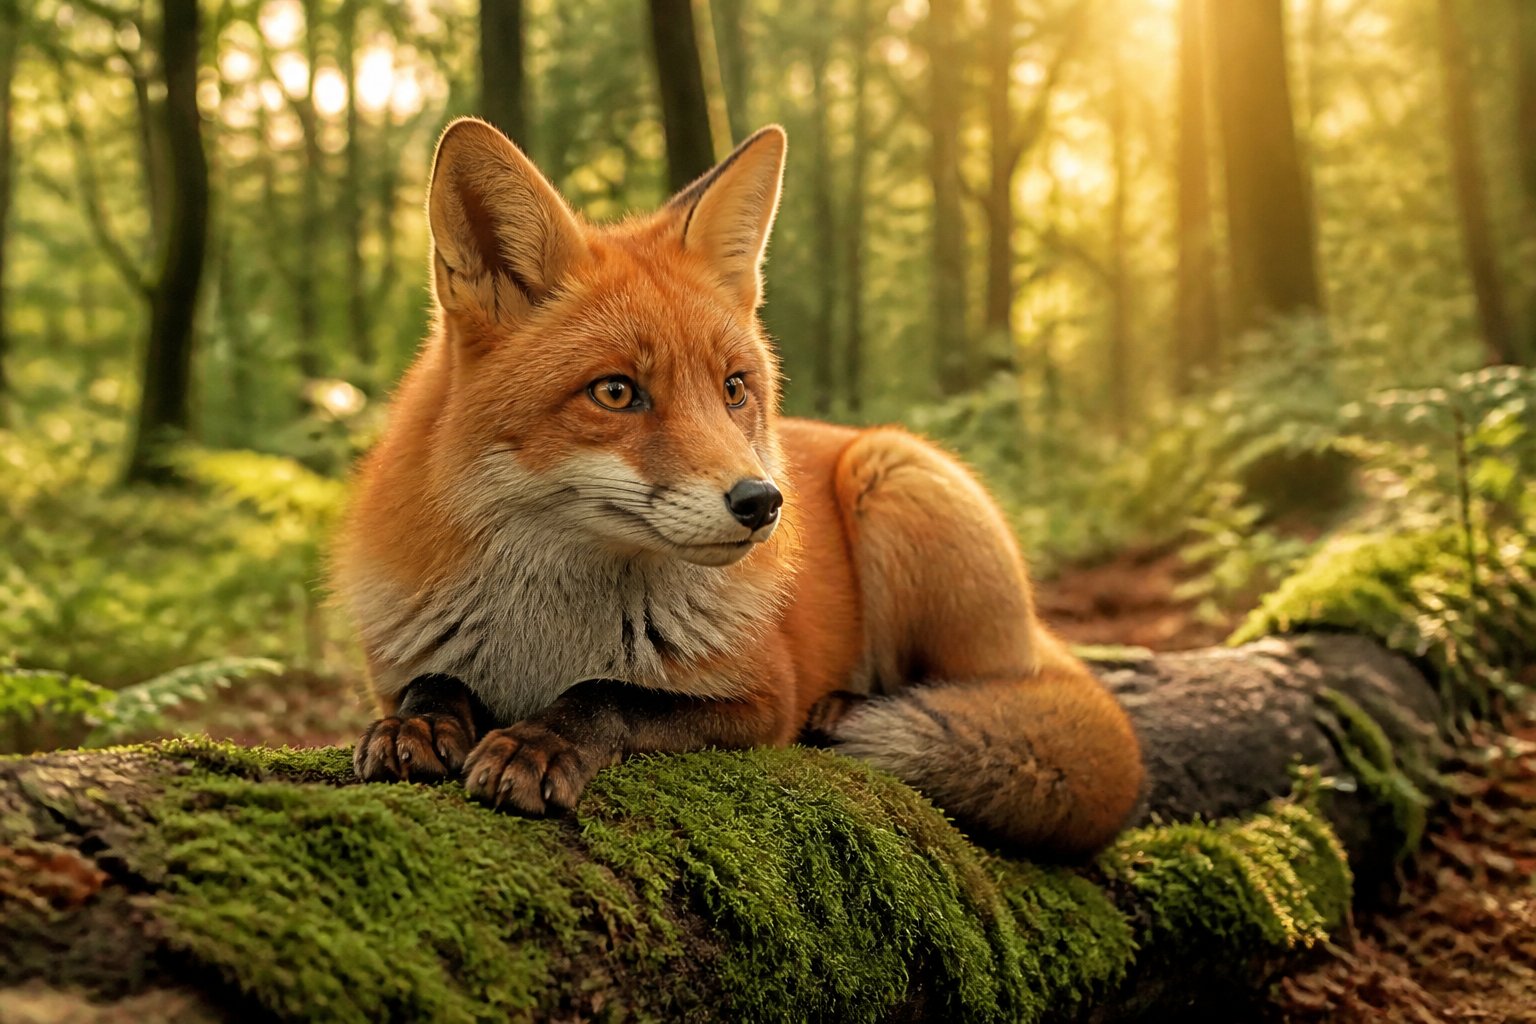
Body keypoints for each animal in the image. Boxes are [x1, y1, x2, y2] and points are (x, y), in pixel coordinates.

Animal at [333, 117, 1143, 857]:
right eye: (616, 392)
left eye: (733, 388)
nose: (763, 503)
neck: (548, 632)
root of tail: (1036, 634)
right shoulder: (400, 662)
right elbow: (435, 681)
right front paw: (418, 723)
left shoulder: (761, 697)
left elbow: (609, 693)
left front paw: (542, 741)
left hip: (896, 480)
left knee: (971, 693)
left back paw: (852, 707)